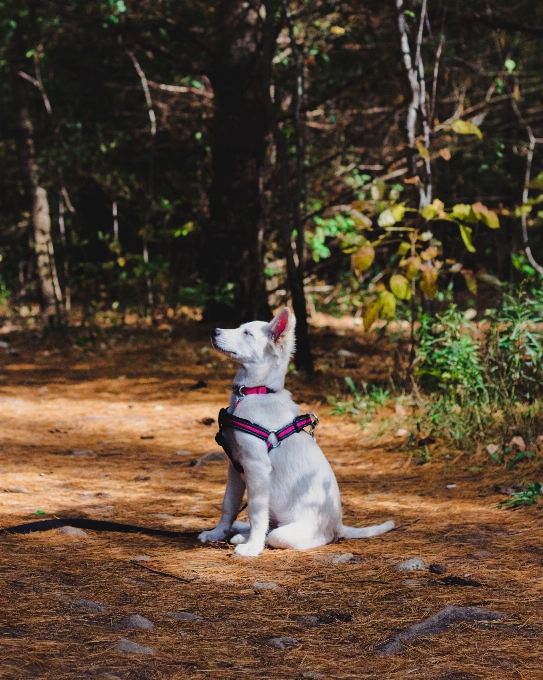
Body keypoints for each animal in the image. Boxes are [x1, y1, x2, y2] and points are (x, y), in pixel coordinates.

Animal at [198, 308, 394, 556]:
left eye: (247, 333)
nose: (213, 331)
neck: (255, 392)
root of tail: (339, 526)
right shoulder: (234, 465)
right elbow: (229, 504)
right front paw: (217, 533)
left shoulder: (256, 466)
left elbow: (255, 511)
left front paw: (253, 547)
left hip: (292, 532)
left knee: (279, 534)